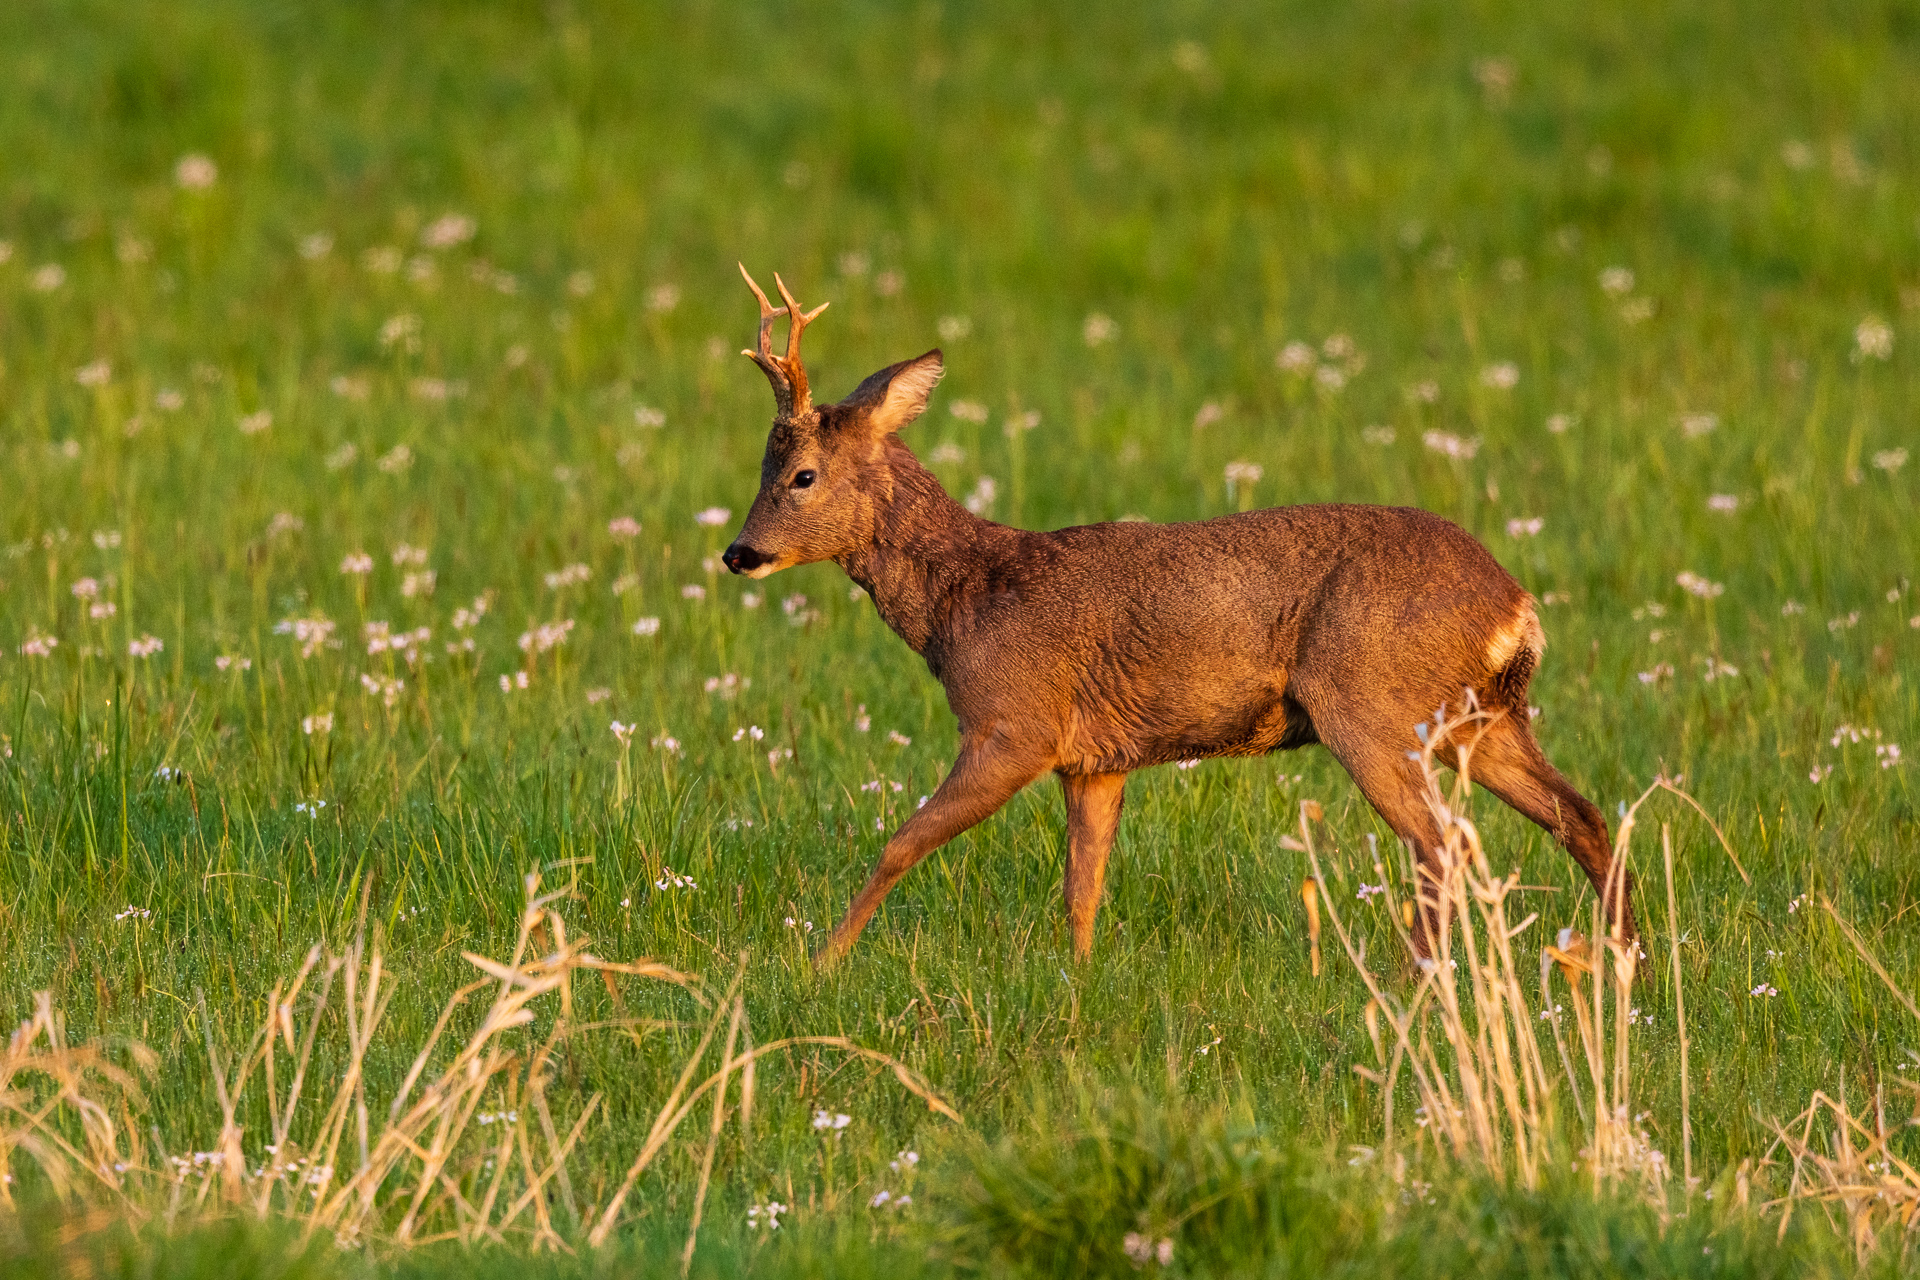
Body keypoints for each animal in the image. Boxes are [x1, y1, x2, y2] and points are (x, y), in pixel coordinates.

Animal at [721, 272, 1635, 971]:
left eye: (800, 475)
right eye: (763, 466)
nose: (738, 553)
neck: (966, 600)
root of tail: (1515, 603)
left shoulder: (1012, 723)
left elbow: (901, 843)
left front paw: (823, 961)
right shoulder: (1093, 762)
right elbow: (1082, 887)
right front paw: (1080, 977)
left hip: (1371, 701)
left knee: (1444, 844)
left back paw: (1417, 980)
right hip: (1483, 714)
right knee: (1584, 817)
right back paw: (1626, 960)